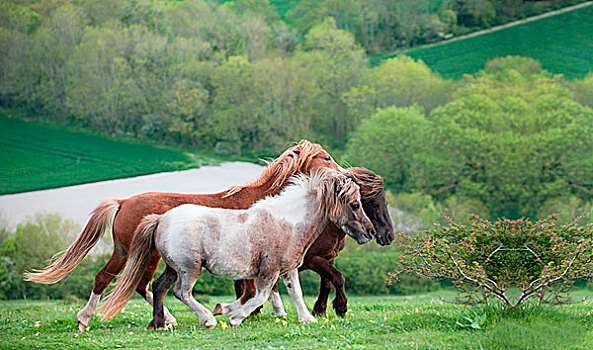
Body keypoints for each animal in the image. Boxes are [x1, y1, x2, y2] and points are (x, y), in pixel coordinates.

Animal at [24, 139, 338, 330]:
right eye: (326, 157)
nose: (343, 173)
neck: (266, 201)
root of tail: (123, 202)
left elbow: (261, 289)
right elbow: (254, 290)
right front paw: (229, 311)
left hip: (125, 252)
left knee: (113, 279)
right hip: (145, 255)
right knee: (138, 285)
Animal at [99, 170, 372, 328]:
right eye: (355, 204)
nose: (369, 233)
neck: (288, 221)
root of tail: (161, 219)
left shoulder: (288, 269)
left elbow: (296, 293)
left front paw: (308, 318)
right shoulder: (269, 269)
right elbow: (260, 295)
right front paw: (233, 316)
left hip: (173, 267)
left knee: (158, 287)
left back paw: (159, 324)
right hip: (190, 268)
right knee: (181, 292)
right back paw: (208, 319)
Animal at [235, 167, 394, 318]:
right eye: (374, 204)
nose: (389, 235)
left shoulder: (329, 258)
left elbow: (328, 283)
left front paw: (320, 310)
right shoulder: (312, 260)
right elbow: (338, 278)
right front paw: (341, 307)